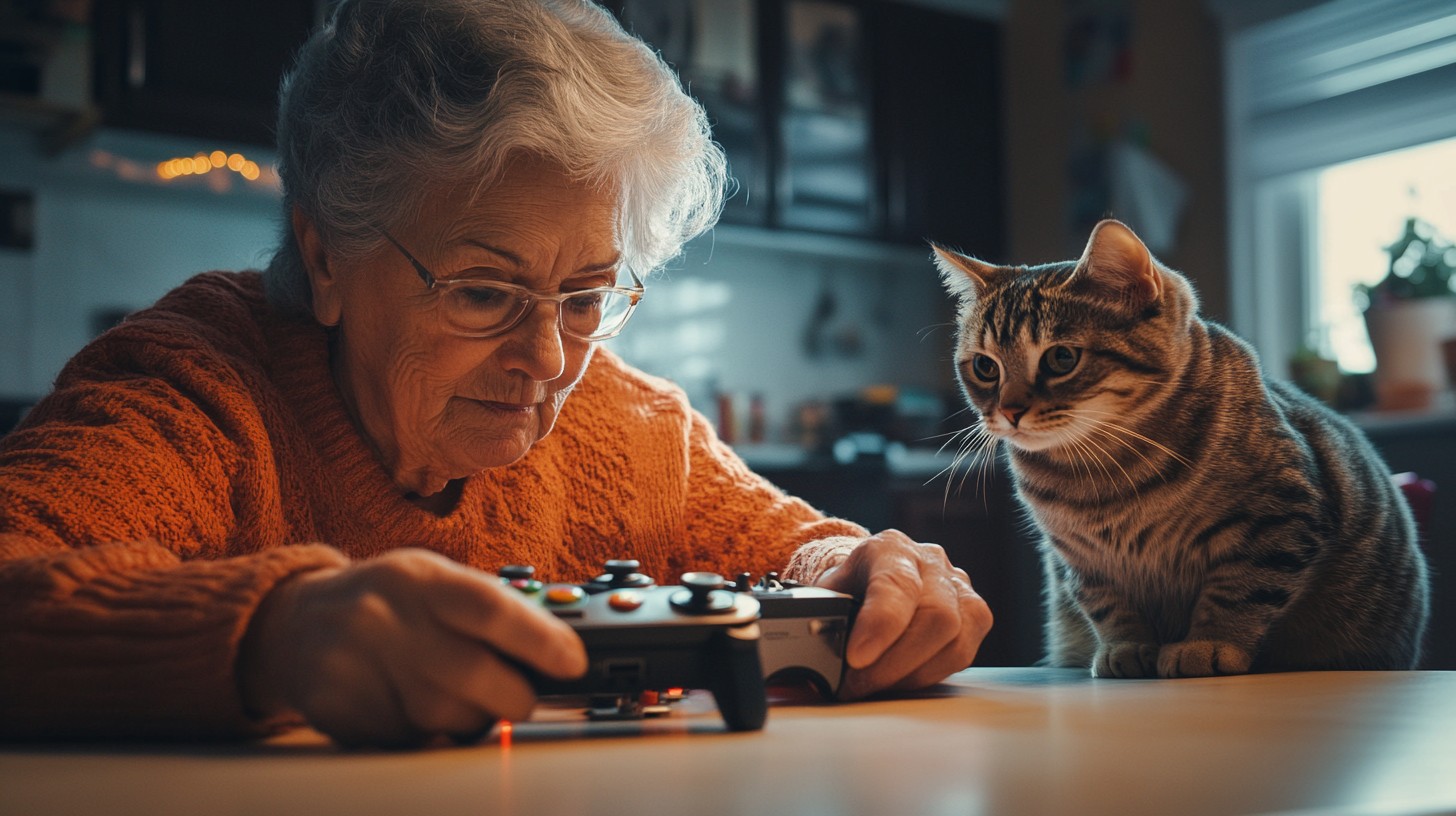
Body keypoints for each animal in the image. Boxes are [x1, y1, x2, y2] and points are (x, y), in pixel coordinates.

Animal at [937, 218, 1426, 676]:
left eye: (1061, 358)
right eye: (985, 367)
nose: (1009, 411)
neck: (1099, 472)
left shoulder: (1279, 518)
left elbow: (1239, 590)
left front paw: (1209, 644)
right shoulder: (1079, 562)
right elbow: (1108, 607)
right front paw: (1126, 648)